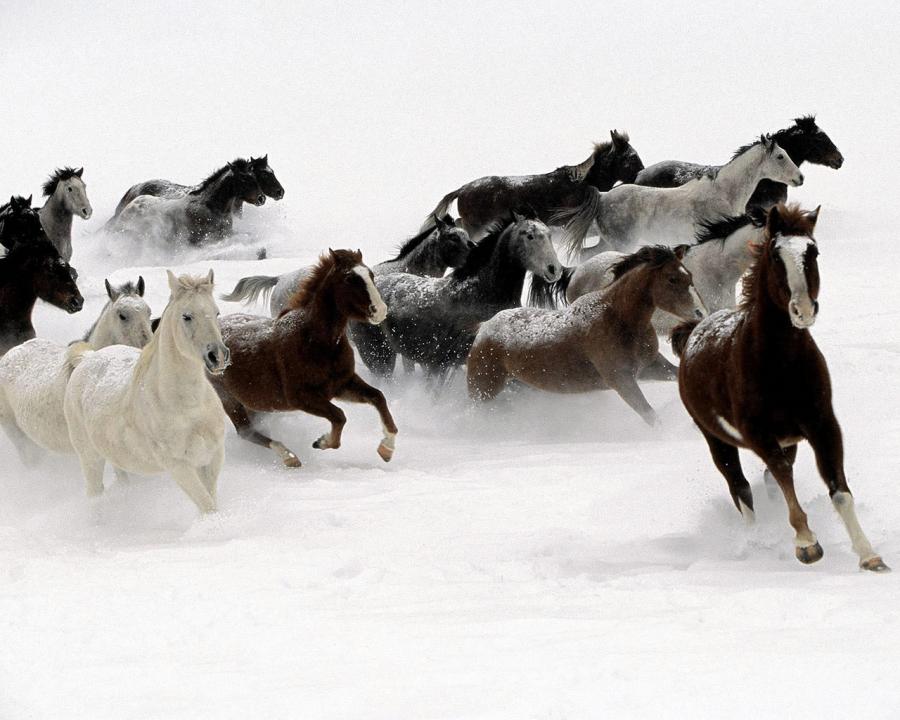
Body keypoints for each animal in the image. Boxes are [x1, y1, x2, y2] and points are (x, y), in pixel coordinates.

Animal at [63, 270, 230, 514]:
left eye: (216, 312)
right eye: (186, 316)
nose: (217, 356)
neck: (189, 407)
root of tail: (87, 358)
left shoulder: (212, 457)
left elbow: (212, 501)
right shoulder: (179, 466)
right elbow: (208, 507)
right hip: (90, 458)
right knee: (94, 492)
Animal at [208, 249, 397, 468]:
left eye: (370, 275)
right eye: (350, 278)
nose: (380, 310)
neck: (315, 342)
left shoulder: (342, 384)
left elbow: (378, 397)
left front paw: (387, 449)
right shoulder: (302, 397)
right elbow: (339, 416)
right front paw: (322, 442)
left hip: (255, 403)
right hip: (229, 399)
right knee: (246, 432)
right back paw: (289, 457)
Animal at [468, 245, 705, 421]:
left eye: (690, 275)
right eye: (672, 279)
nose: (699, 312)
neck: (618, 318)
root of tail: (484, 328)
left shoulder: (650, 367)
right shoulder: (621, 380)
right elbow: (651, 416)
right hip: (483, 390)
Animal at [561, 136, 803, 256]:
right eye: (780, 156)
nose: (800, 178)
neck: (724, 193)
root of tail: (603, 198)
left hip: (608, 242)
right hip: (622, 244)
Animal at [672, 204, 888, 572]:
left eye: (813, 251)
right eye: (775, 256)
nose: (803, 310)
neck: (781, 366)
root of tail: (692, 331)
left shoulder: (822, 425)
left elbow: (838, 489)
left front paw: (869, 555)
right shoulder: (758, 434)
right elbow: (783, 477)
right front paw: (807, 544)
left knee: (766, 483)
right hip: (716, 439)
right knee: (741, 489)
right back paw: (755, 542)